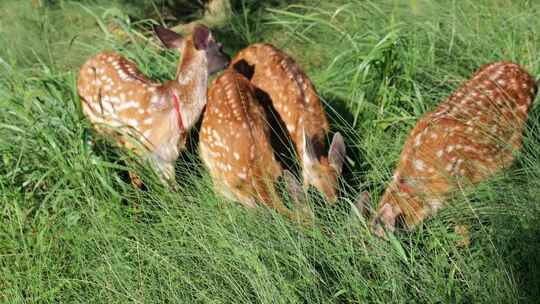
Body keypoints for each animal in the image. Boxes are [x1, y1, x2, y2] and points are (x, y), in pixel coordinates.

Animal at [77, 24, 229, 185]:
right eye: (220, 47)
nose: (229, 58)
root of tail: (86, 63)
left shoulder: (168, 156)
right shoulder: (143, 146)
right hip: (101, 125)